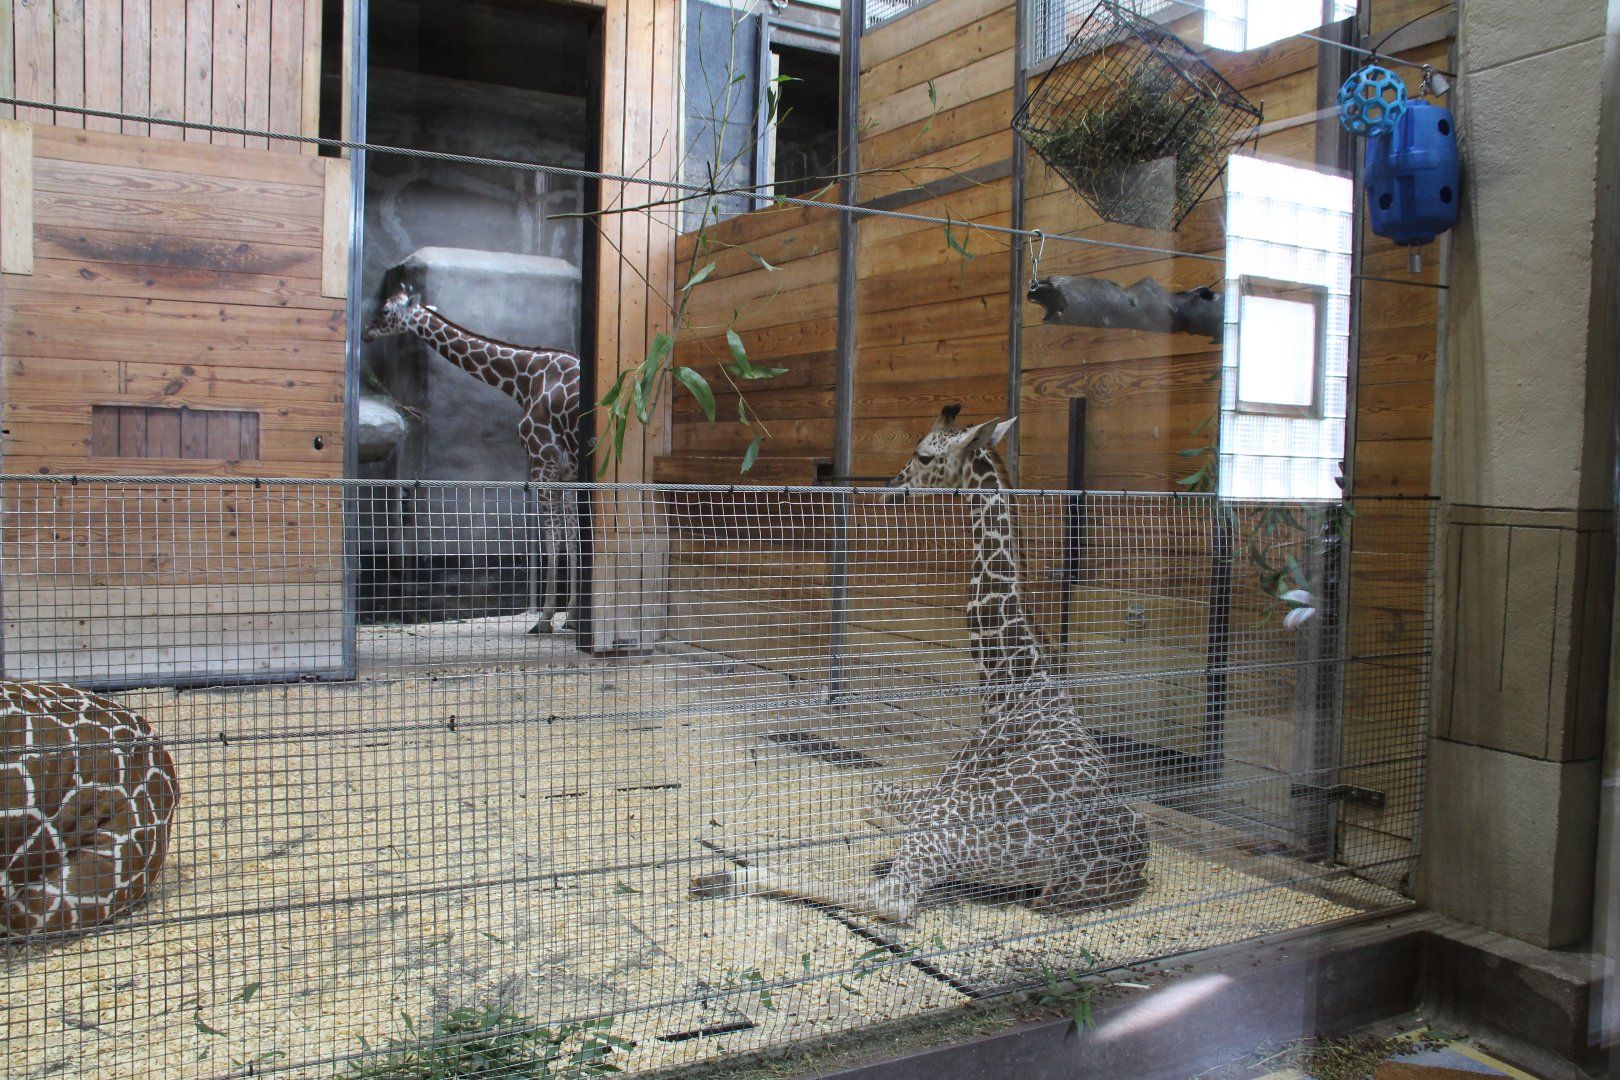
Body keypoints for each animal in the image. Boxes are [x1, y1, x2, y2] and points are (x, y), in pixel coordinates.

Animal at [362, 284, 583, 633]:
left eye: (385, 310)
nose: (366, 333)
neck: (524, 378)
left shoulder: (542, 460)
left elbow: (553, 537)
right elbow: (573, 537)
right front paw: (572, 616)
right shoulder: (568, 471)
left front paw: (545, 618)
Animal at [694, 406, 1148, 923]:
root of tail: (1067, 871)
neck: (1013, 677)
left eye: (925, 453)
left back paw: (728, 876)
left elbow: (873, 797)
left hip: (944, 827)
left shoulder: (949, 779)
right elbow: (874, 801)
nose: (893, 484)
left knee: (888, 899)